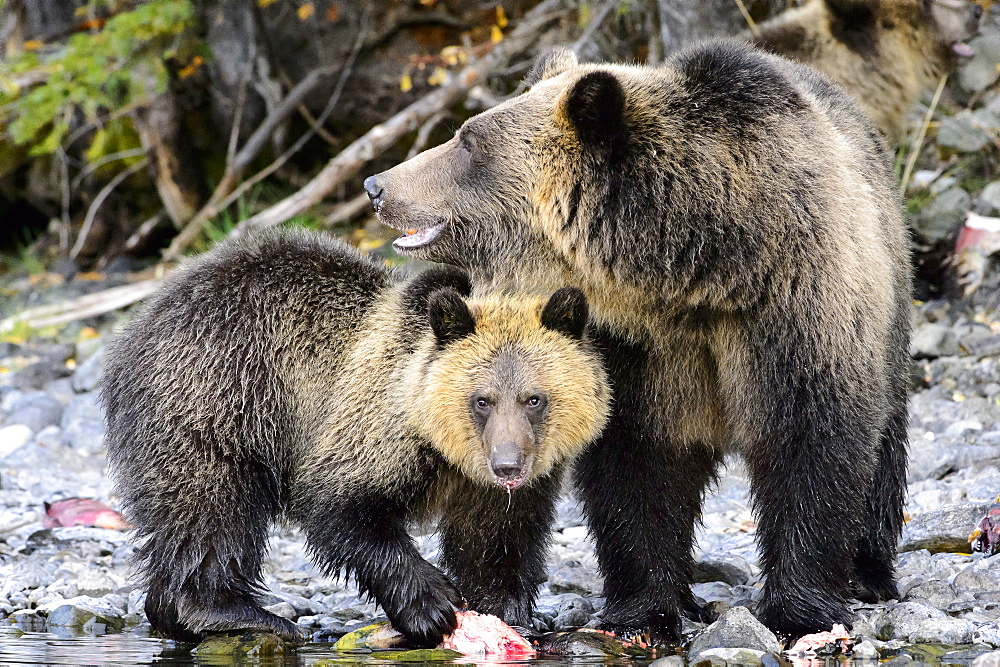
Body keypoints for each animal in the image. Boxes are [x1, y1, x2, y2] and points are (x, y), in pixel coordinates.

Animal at [101, 231, 608, 648]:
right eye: (482, 399)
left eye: (534, 398)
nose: (507, 465)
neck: (447, 452)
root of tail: (139, 322)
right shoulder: (376, 421)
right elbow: (344, 507)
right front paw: (432, 604)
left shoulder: (506, 483)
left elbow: (498, 538)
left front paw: (510, 613)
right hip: (220, 393)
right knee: (211, 505)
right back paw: (231, 613)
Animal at [368, 41, 916, 640]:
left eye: (468, 140)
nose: (377, 186)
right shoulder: (633, 349)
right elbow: (637, 467)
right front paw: (645, 610)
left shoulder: (794, 309)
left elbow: (810, 445)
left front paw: (801, 610)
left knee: (885, 441)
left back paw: (869, 573)